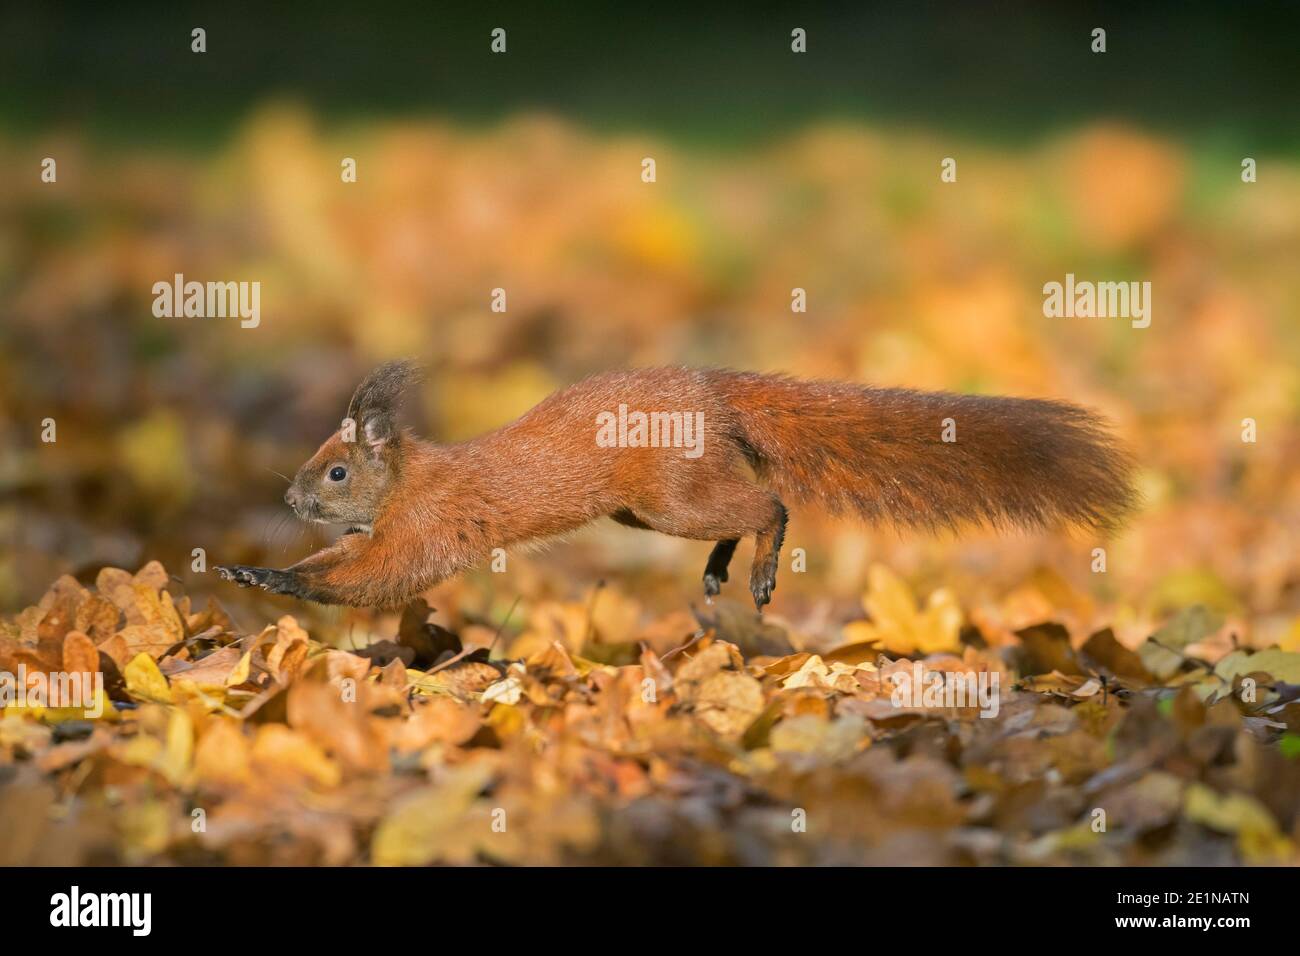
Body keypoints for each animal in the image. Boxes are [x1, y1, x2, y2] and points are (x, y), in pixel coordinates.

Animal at [216, 361, 1136, 611]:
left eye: (336, 470)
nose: (292, 503)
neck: (413, 479)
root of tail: (714, 393)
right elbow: (346, 567)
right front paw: (248, 568)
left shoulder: (429, 528)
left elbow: (372, 581)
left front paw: (267, 577)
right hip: (647, 510)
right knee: (739, 509)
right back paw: (722, 569)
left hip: (667, 497)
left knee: (769, 503)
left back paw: (757, 573)